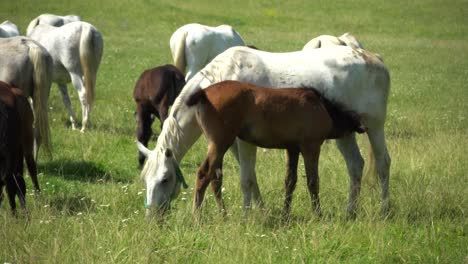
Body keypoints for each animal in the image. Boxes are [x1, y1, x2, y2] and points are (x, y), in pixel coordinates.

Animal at [186, 80, 366, 217]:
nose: (363, 127)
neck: (322, 106)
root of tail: (204, 92)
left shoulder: (292, 149)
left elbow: (290, 181)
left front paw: (285, 214)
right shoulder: (311, 146)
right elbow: (313, 181)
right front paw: (318, 214)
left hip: (218, 145)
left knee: (215, 178)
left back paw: (223, 214)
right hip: (220, 143)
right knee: (204, 174)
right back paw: (197, 217)